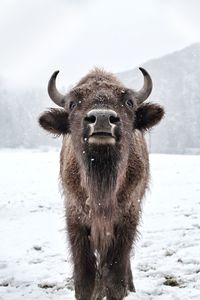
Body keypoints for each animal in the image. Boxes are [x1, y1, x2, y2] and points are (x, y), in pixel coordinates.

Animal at [38, 68, 163, 300]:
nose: (103, 119)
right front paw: (94, 291)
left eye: (129, 102)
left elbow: (115, 277)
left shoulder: (126, 220)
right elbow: (85, 279)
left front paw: (117, 288)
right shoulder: (76, 220)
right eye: (72, 104)